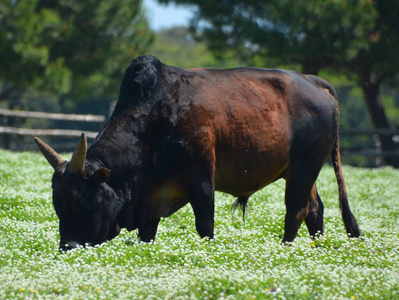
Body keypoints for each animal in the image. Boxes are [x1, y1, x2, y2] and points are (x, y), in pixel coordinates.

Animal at [34, 55, 360, 250]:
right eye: (57, 204)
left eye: (83, 200)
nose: (69, 246)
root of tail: (315, 82)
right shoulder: (151, 200)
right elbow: (146, 234)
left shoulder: (202, 180)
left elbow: (205, 225)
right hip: (299, 171)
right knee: (315, 210)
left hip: (305, 167)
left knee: (296, 210)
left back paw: (285, 247)